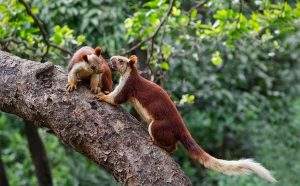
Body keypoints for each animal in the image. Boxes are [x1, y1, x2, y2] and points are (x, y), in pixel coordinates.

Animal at [96, 54, 276, 182]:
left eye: (120, 60)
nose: (110, 59)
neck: (129, 75)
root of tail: (180, 127)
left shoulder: (128, 86)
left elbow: (116, 98)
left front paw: (102, 96)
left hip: (158, 126)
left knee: (172, 144)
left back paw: (156, 143)